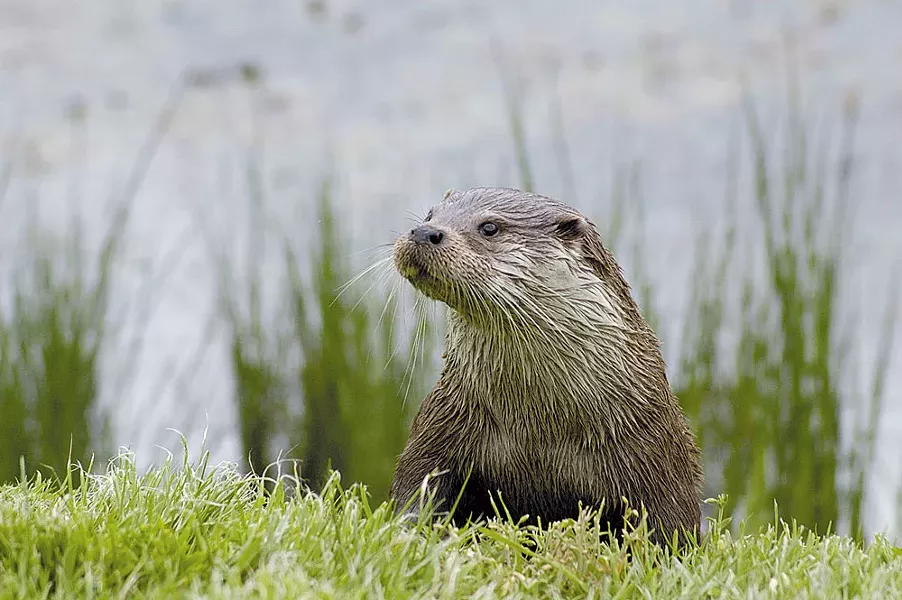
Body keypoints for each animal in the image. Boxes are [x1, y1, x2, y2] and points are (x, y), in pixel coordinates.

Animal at [388, 186, 703, 547]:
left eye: (490, 227)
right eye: (430, 215)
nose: (424, 232)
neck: (538, 427)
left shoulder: (658, 459)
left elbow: (668, 532)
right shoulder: (441, 424)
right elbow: (415, 488)